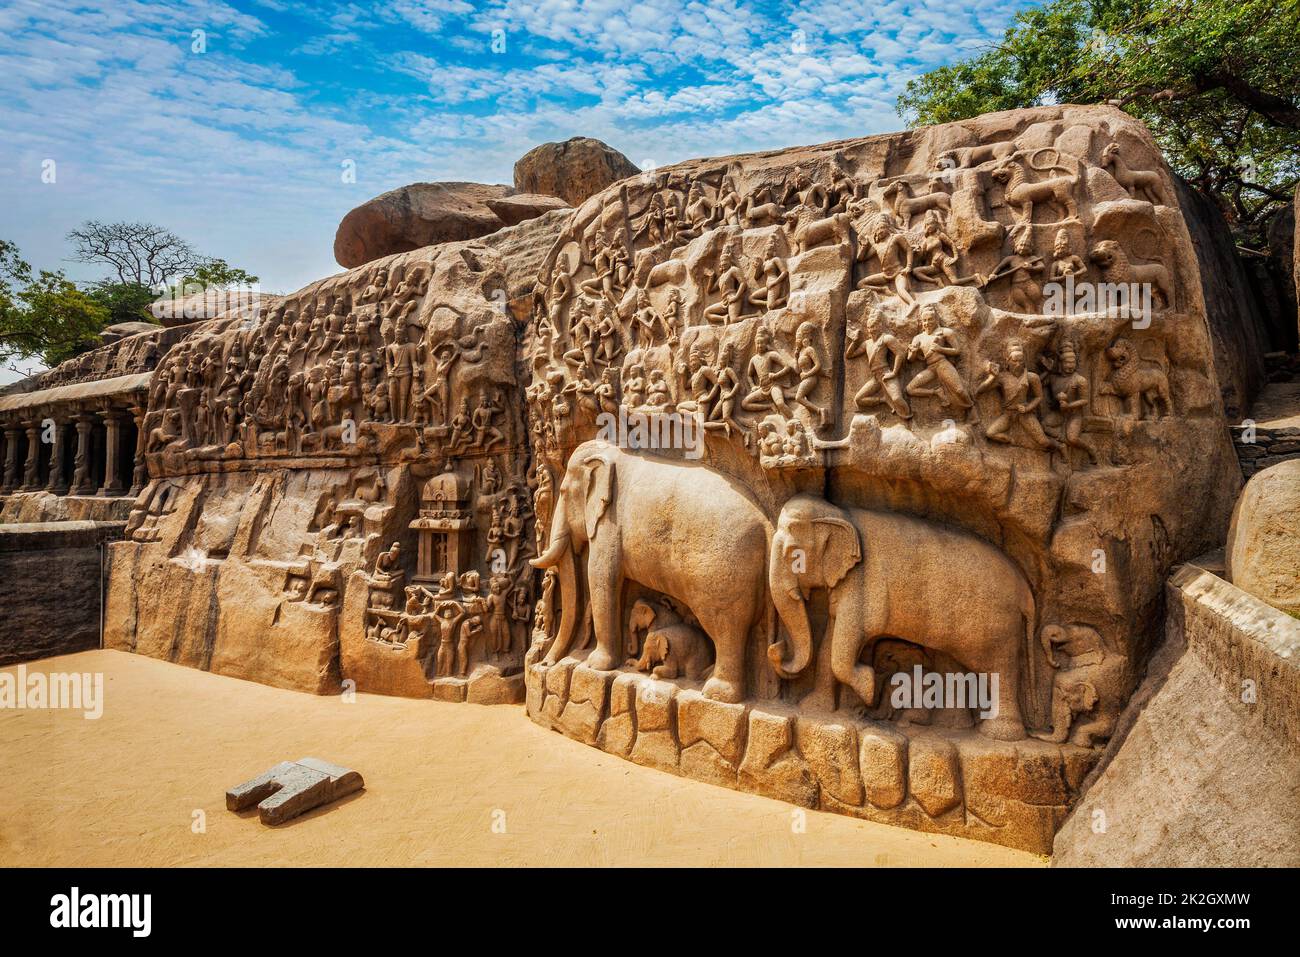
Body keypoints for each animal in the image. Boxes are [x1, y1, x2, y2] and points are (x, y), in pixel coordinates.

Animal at [530, 442, 769, 702]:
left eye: (563, 492)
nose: (545, 664)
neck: (614, 454)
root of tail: (767, 523)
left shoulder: (609, 525)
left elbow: (602, 579)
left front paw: (595, 665)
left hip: (724, 572)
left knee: (726, 630)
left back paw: (715, 693)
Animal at [769, 494, 1034, 738]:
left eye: (793, 554)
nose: (777, 646)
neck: (841, 514)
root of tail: (1025, 589)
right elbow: (830, 643)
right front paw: (814, 706)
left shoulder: (864, 584)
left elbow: (845, 643)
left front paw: (868, 688)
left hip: (997, 625)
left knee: (999, 669)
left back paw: (999, 733)